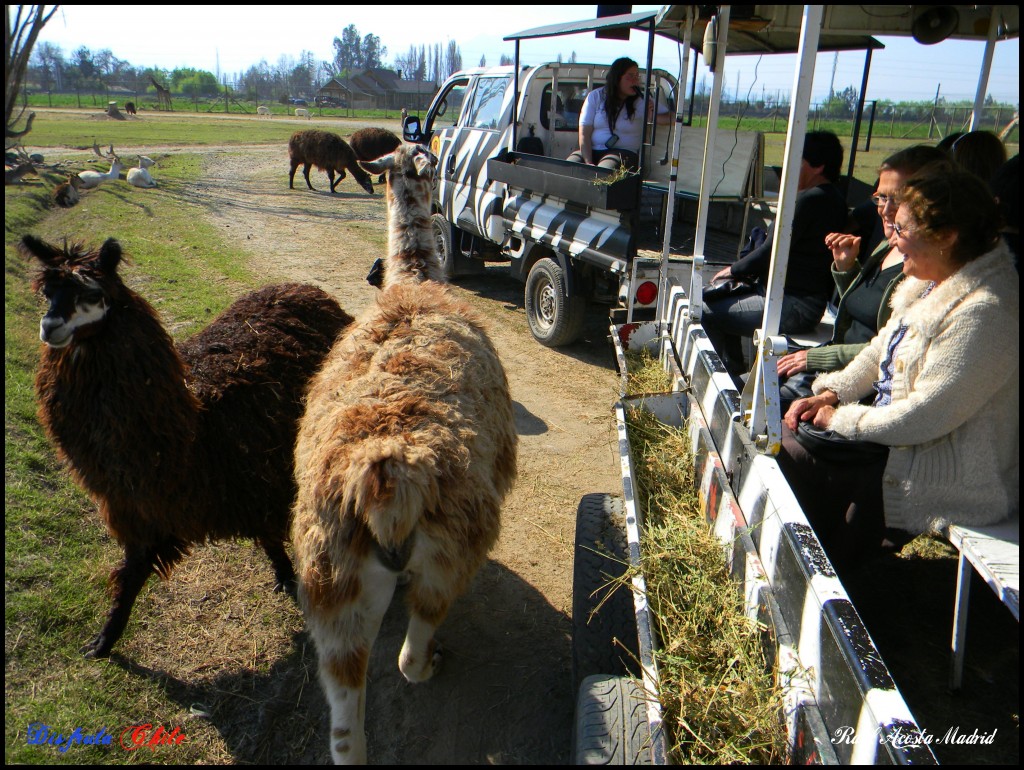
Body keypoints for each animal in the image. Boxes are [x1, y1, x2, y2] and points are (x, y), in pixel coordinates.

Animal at [22, 233, 354, 655]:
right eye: (47, 293)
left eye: (94, 293)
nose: (50, 326)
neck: (189, 428)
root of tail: (301, 287)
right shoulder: (139, 508)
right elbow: (131, 574)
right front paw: (104, 640)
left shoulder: (253, 480)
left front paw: (291, 576)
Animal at [294, 141, 520, 761]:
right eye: (429, 159)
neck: (413, 284)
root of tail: (386, 477)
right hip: (449, 551)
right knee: (409, 653)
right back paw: (436, 660)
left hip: (331, 587)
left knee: (345, 733)